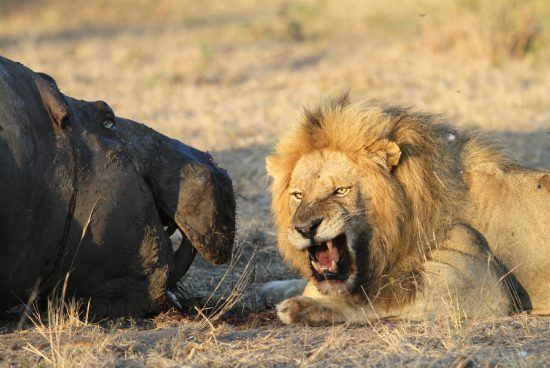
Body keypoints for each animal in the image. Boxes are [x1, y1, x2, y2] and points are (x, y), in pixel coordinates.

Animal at [266, 95, 548, 324]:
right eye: (298, 195)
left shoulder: (481, 284)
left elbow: (377, 295)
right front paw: (273, 288)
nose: (305, 229)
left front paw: (300, 306)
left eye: (341, 190)